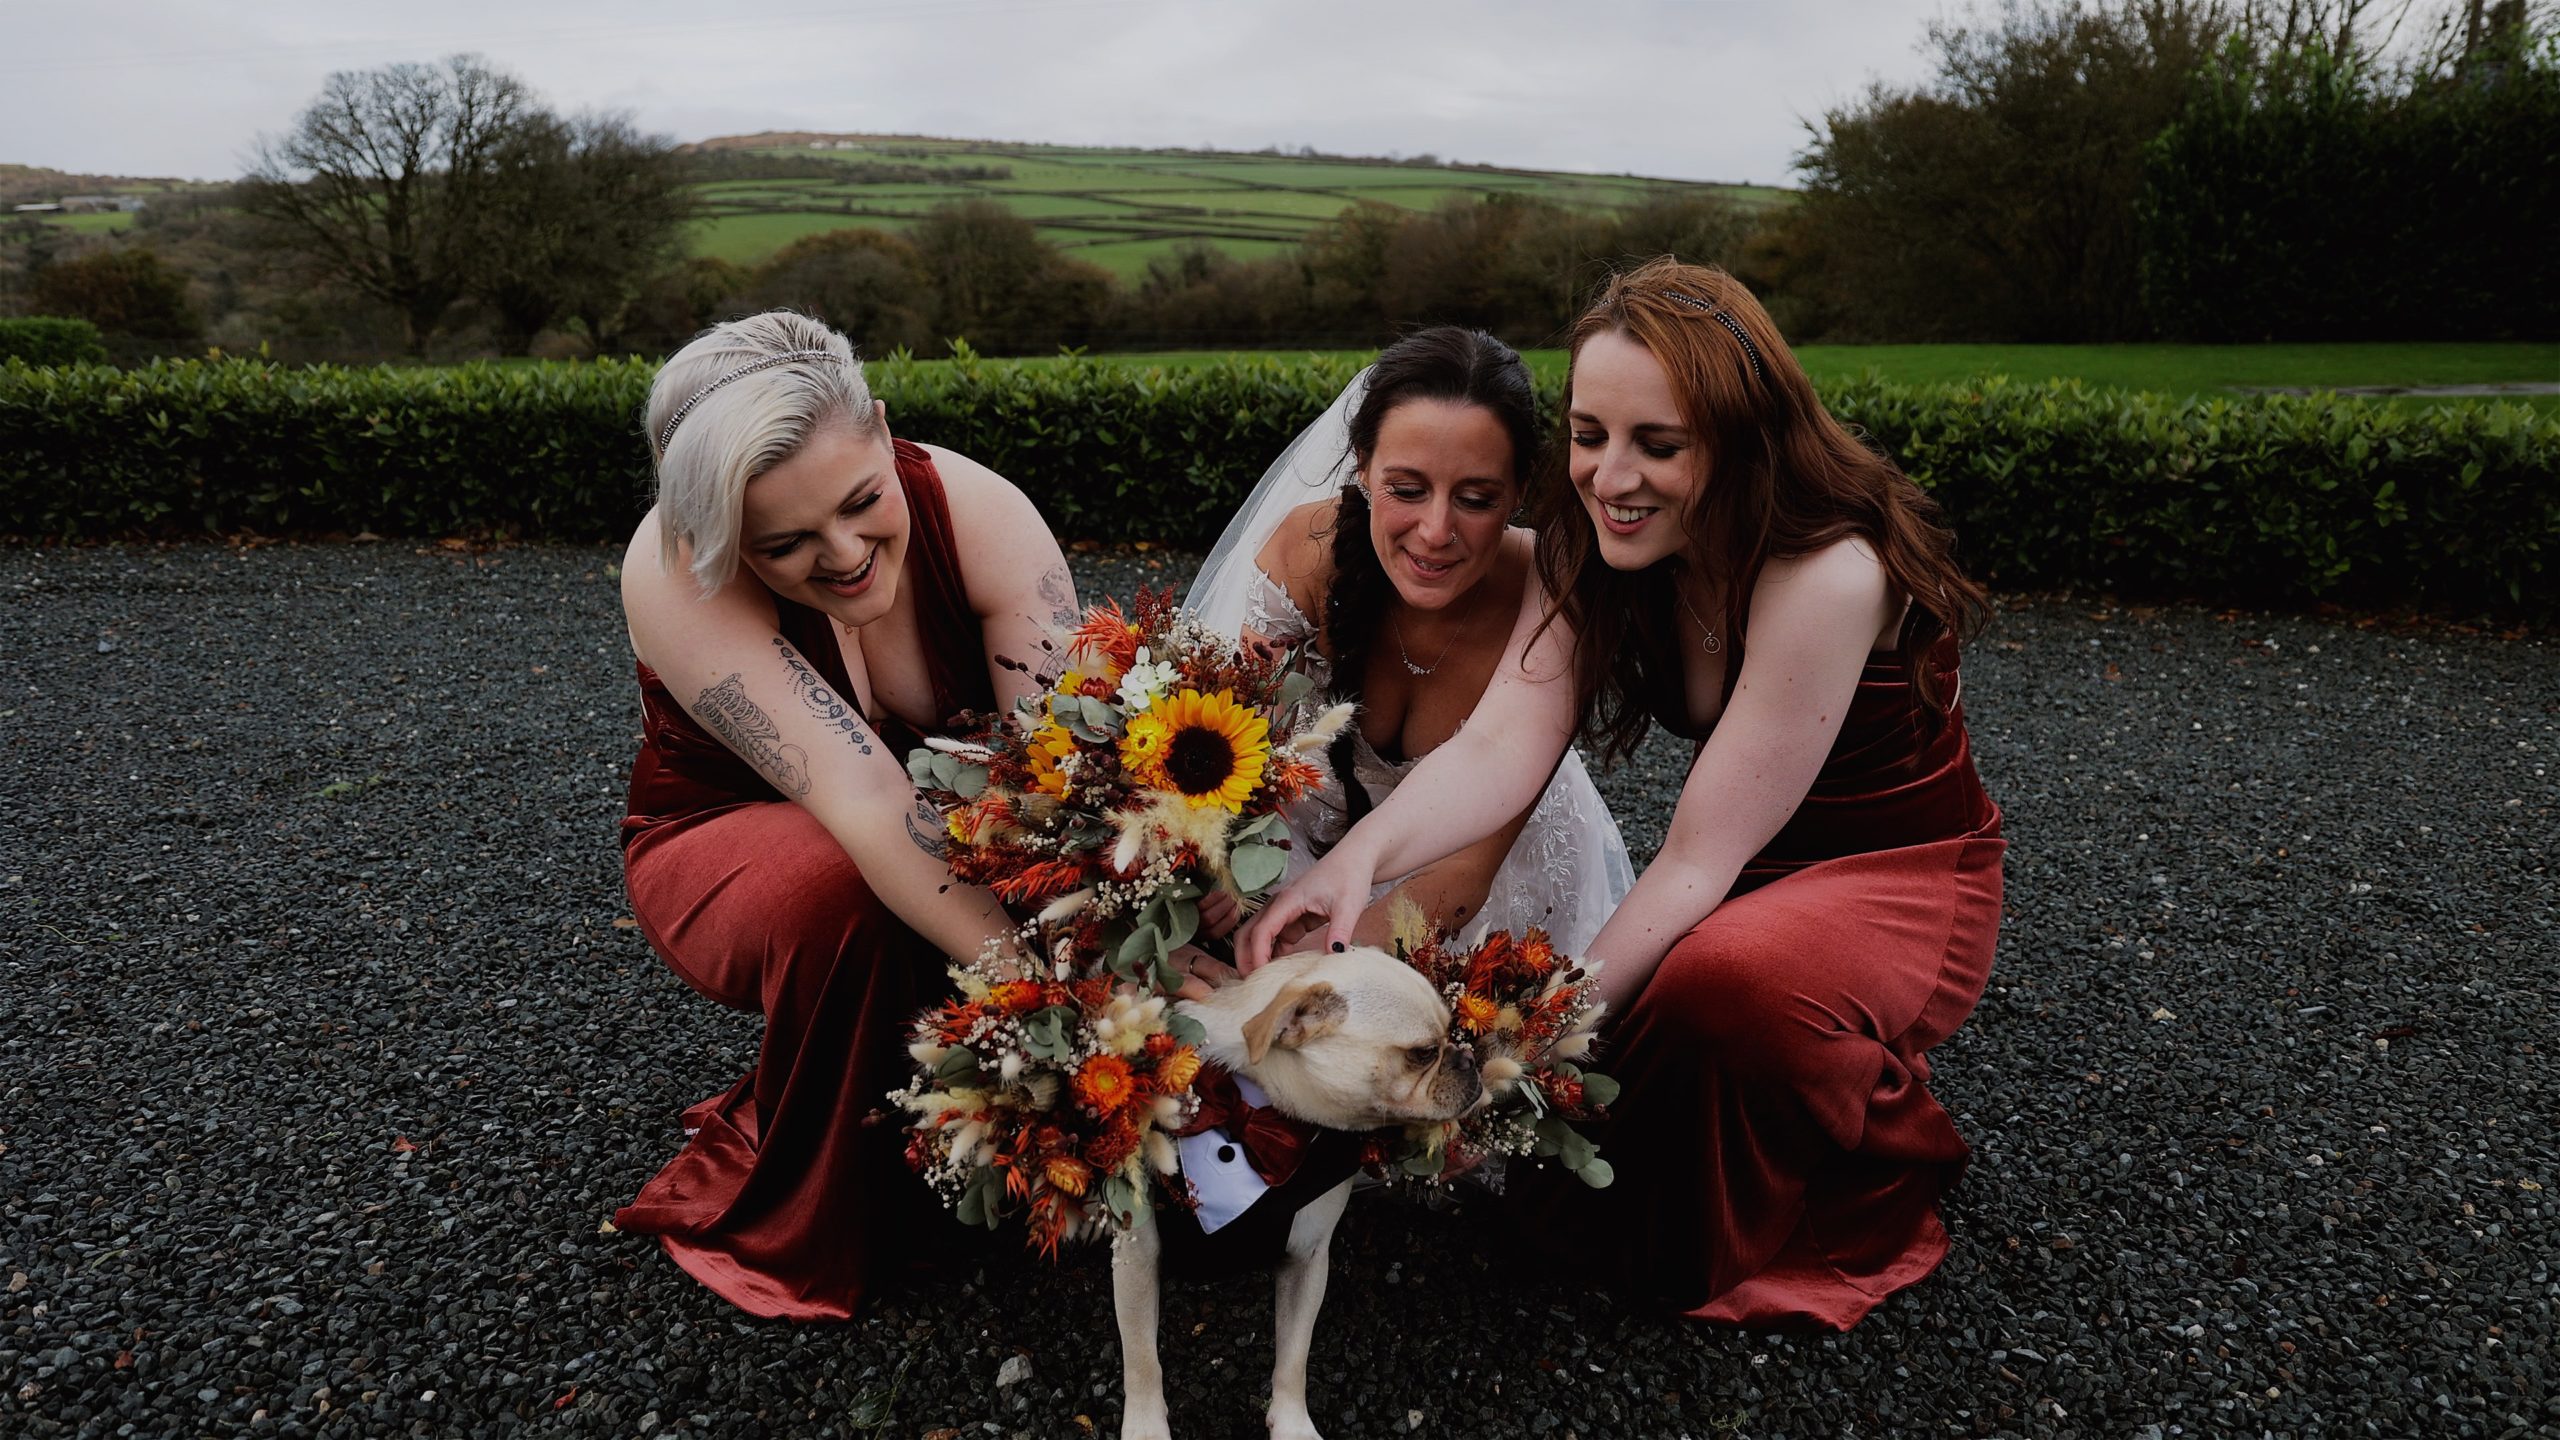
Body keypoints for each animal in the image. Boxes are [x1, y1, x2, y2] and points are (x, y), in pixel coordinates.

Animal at [1111, 942, 1495, 1434]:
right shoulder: (1136, 1260)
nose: (1466, 1058)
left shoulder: (1307, 1259)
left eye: (1451, 1034)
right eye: (1424, 1052)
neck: (1261, 1120)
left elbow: (1294, 1356)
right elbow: (1141, 1358)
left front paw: (1292, 1425)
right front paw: (1145, 1428)